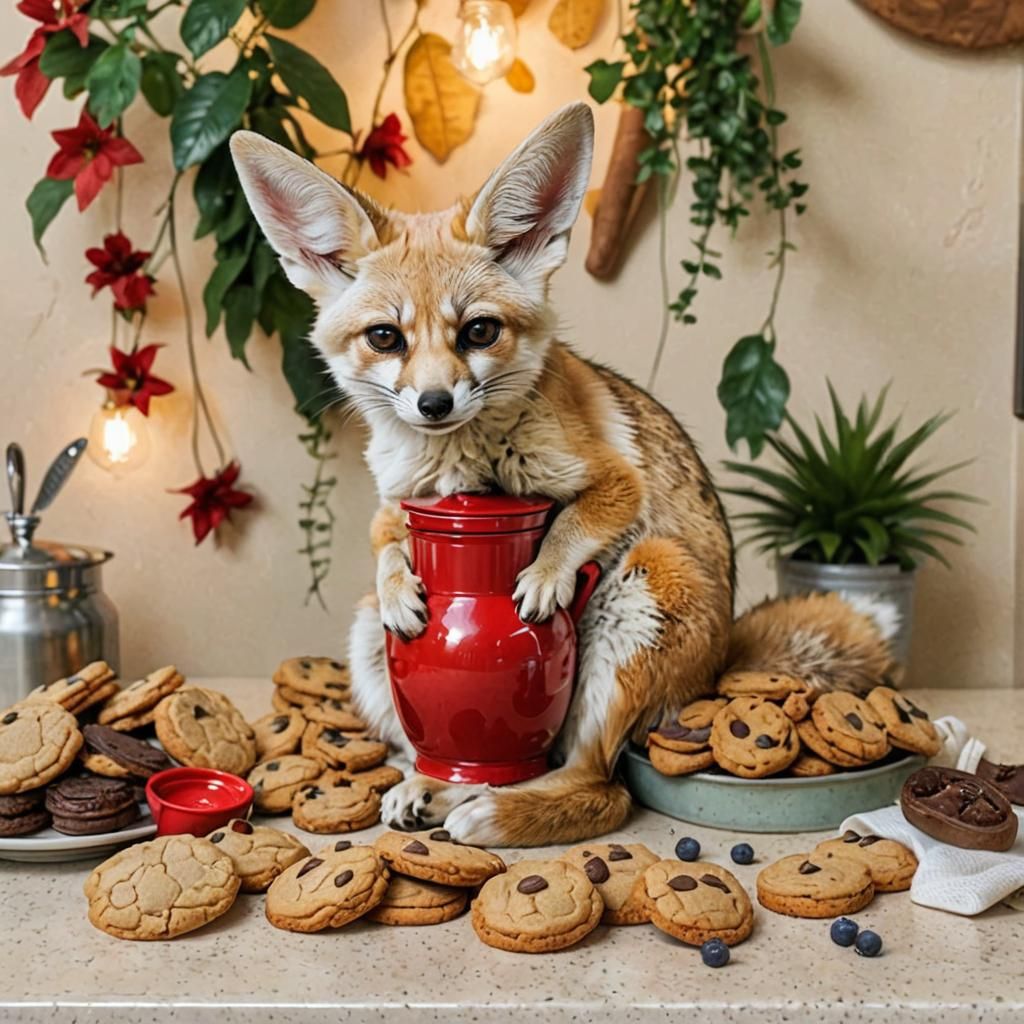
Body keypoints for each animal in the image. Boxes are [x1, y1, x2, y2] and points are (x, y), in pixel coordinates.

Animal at [230, 102, 899, 847]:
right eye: (385, 338)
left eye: (479, 331)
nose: (434, 404)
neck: (462, 464)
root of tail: (723, 665)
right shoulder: (397, 500)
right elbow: (384, 543)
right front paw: (401, 583)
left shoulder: (612, 477)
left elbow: (578, 519)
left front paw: (546, 574)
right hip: (369, 641)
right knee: (497, 760)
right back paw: (435, 788)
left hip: (646, 584)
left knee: (597, 787)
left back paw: (494, 812)